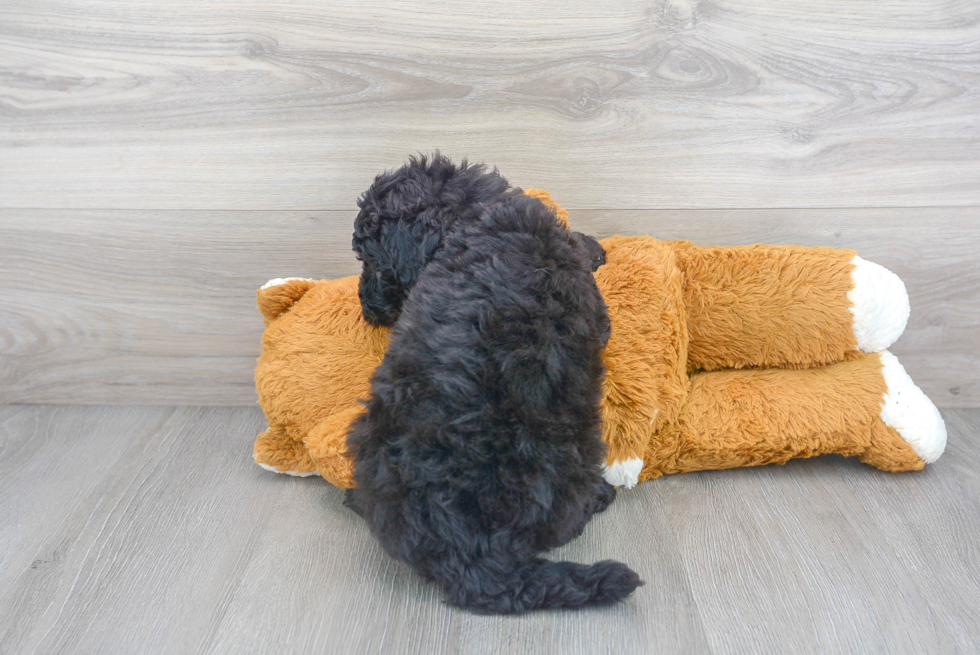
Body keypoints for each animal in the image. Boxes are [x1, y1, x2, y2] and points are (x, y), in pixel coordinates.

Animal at [344, 156, 644, 616]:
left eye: (370, 261)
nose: (365, 308)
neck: (471, 215)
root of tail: (470, 555)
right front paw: (592, 246)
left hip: (368, 429)